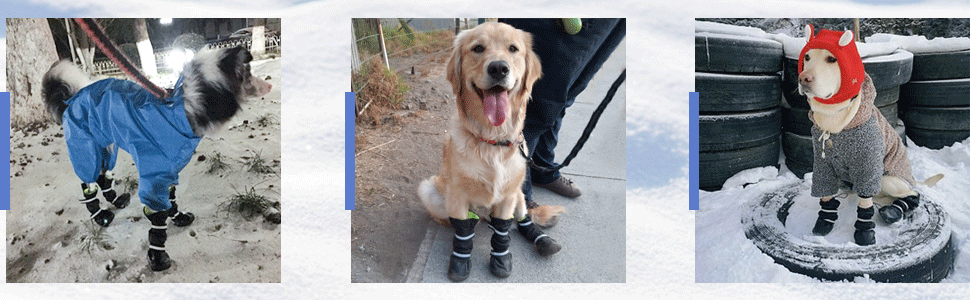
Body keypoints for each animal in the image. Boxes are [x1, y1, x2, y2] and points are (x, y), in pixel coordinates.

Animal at [41, 45, 268, 272]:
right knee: (88, 183)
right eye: (247, 74)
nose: (269, 84)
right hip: (86, 149)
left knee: (103, 177)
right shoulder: (154, 175)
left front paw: (179, 217)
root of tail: (70, 100)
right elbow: (157, 218)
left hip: (107, 147)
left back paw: (116, 200)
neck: (181, 111)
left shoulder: (170, 171)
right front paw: (157, 257)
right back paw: (100, 217)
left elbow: (171, 200)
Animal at [796, 24, 936, 246]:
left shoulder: (867, 166)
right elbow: (825, 195)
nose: (803, 78)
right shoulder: (822, 163)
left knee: (912, 193)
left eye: (831, 59)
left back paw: (895, 210)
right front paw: (824, 220)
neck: (833, 119)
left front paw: (864, 233)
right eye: (807, 57)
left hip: (889, 178)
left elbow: (865, 206)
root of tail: (911, 178)